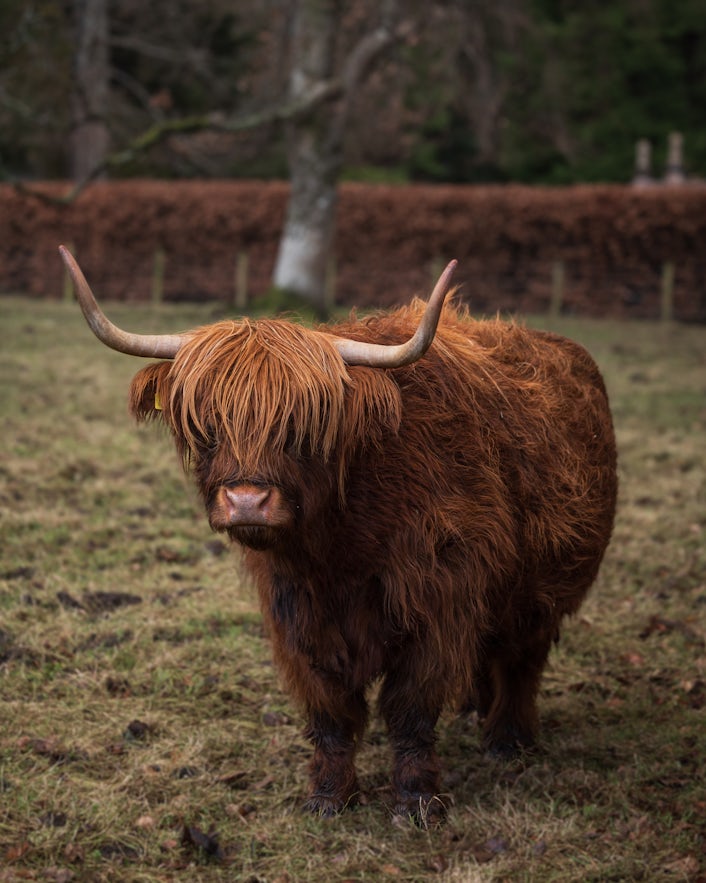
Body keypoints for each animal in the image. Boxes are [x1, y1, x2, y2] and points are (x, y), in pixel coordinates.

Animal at [60, 247, 612, 820]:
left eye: (300, 426)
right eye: (207, 425)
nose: (247, 502)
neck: (339, 550)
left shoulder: (440, 601)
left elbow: (411, 707)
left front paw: (416, 801)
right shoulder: (296, 613)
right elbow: (329, 710)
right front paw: (328, 796)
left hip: (548, 589)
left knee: (522, 659)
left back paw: (508, 740)